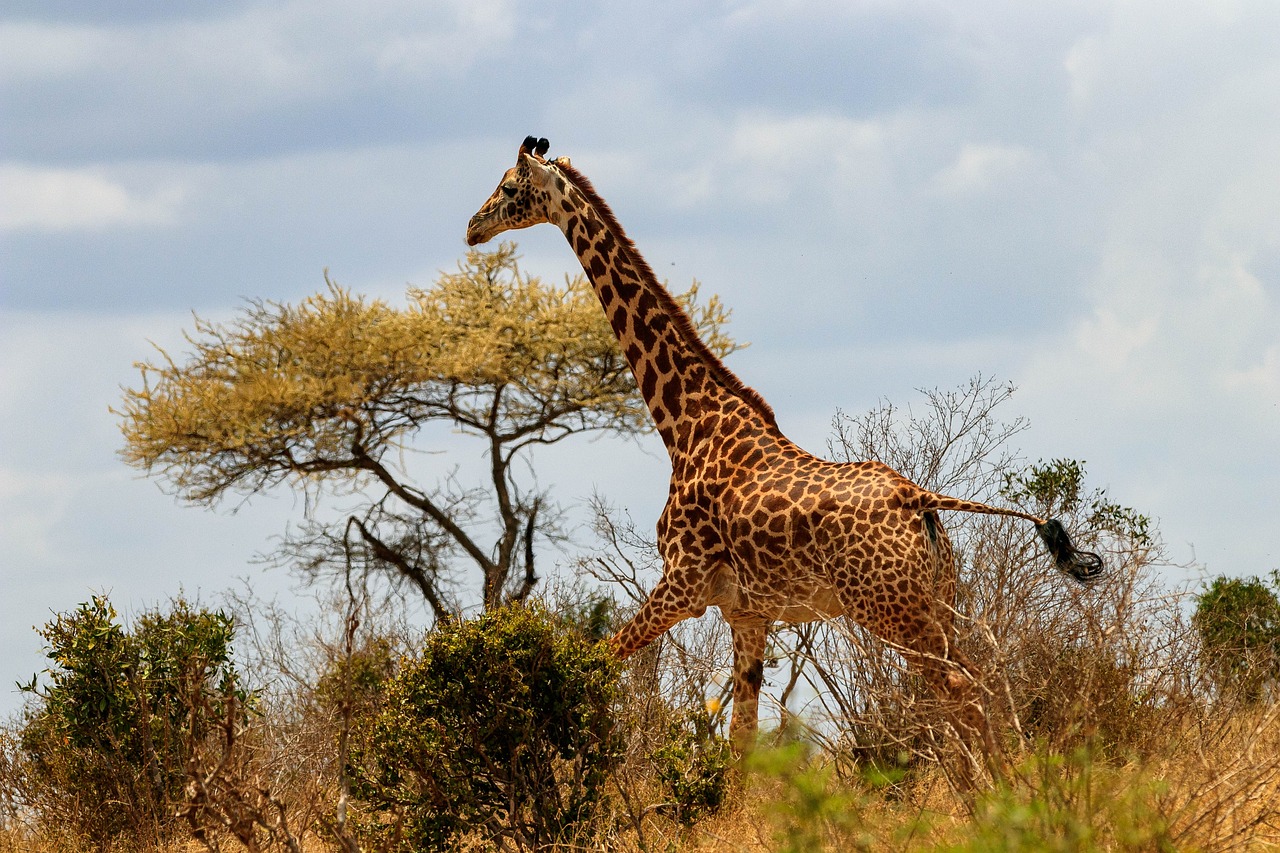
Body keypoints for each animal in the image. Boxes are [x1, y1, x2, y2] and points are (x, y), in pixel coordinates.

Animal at [465, 136, 1105, 758]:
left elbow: (592, 664)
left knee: (963, 691)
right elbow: (742, 742)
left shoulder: (683, 584)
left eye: (510, 187)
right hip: (936, 600)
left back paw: (1000, 792)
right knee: (973, 686)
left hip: (891, 608)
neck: (685, 424)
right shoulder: (748, 613)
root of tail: (919, 499)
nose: (472, 226)